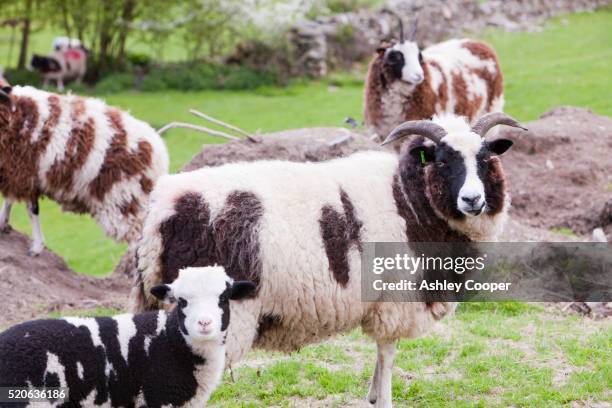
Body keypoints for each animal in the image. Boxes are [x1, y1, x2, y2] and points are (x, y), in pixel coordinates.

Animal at [0, 85, 169, 255]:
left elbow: (31, 209)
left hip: (125, 199)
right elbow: (11, 200)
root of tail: (159, 153)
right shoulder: (15, 171)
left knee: (141, 243)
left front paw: (36, 247)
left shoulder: (26, 172)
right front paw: (3, 223)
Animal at [130, 112, 524, 408]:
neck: (410, 200)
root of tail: (163, 205)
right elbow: (388, 353)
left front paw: (371, 395)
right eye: (442, 161)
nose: (473, 200)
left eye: (486, 159)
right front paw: (382, 399)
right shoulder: (394, 300)